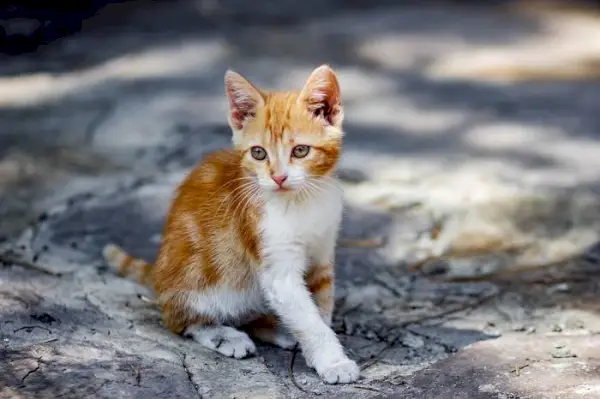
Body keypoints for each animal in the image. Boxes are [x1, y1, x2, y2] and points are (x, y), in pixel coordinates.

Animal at [102, 65, 358, 384]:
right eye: (259, 153)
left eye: (300, 151)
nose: (278, 178)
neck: (302, 200)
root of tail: (159, 277)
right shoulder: (276, 266)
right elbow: (307, 318)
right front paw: (333, 361)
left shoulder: (322, 253)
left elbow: (319, 306)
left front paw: (323, 351)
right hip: (200, 282)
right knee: (179, 319)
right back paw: (224, 336)